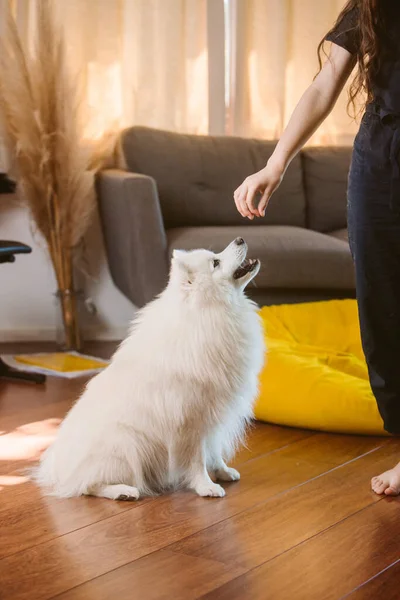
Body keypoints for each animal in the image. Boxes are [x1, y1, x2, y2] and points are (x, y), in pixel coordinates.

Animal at [35, 237, 266, 500]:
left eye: (215, 255)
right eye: (215, 262)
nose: (240, 239)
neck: (212, 311)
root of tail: (58, 469)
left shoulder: (214, 415)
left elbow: (214, 450)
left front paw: (222, 472)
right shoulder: (191, 419)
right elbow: (197, 458)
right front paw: (206, 486)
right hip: (126, 443)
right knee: (88, 486)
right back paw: (123, 491)